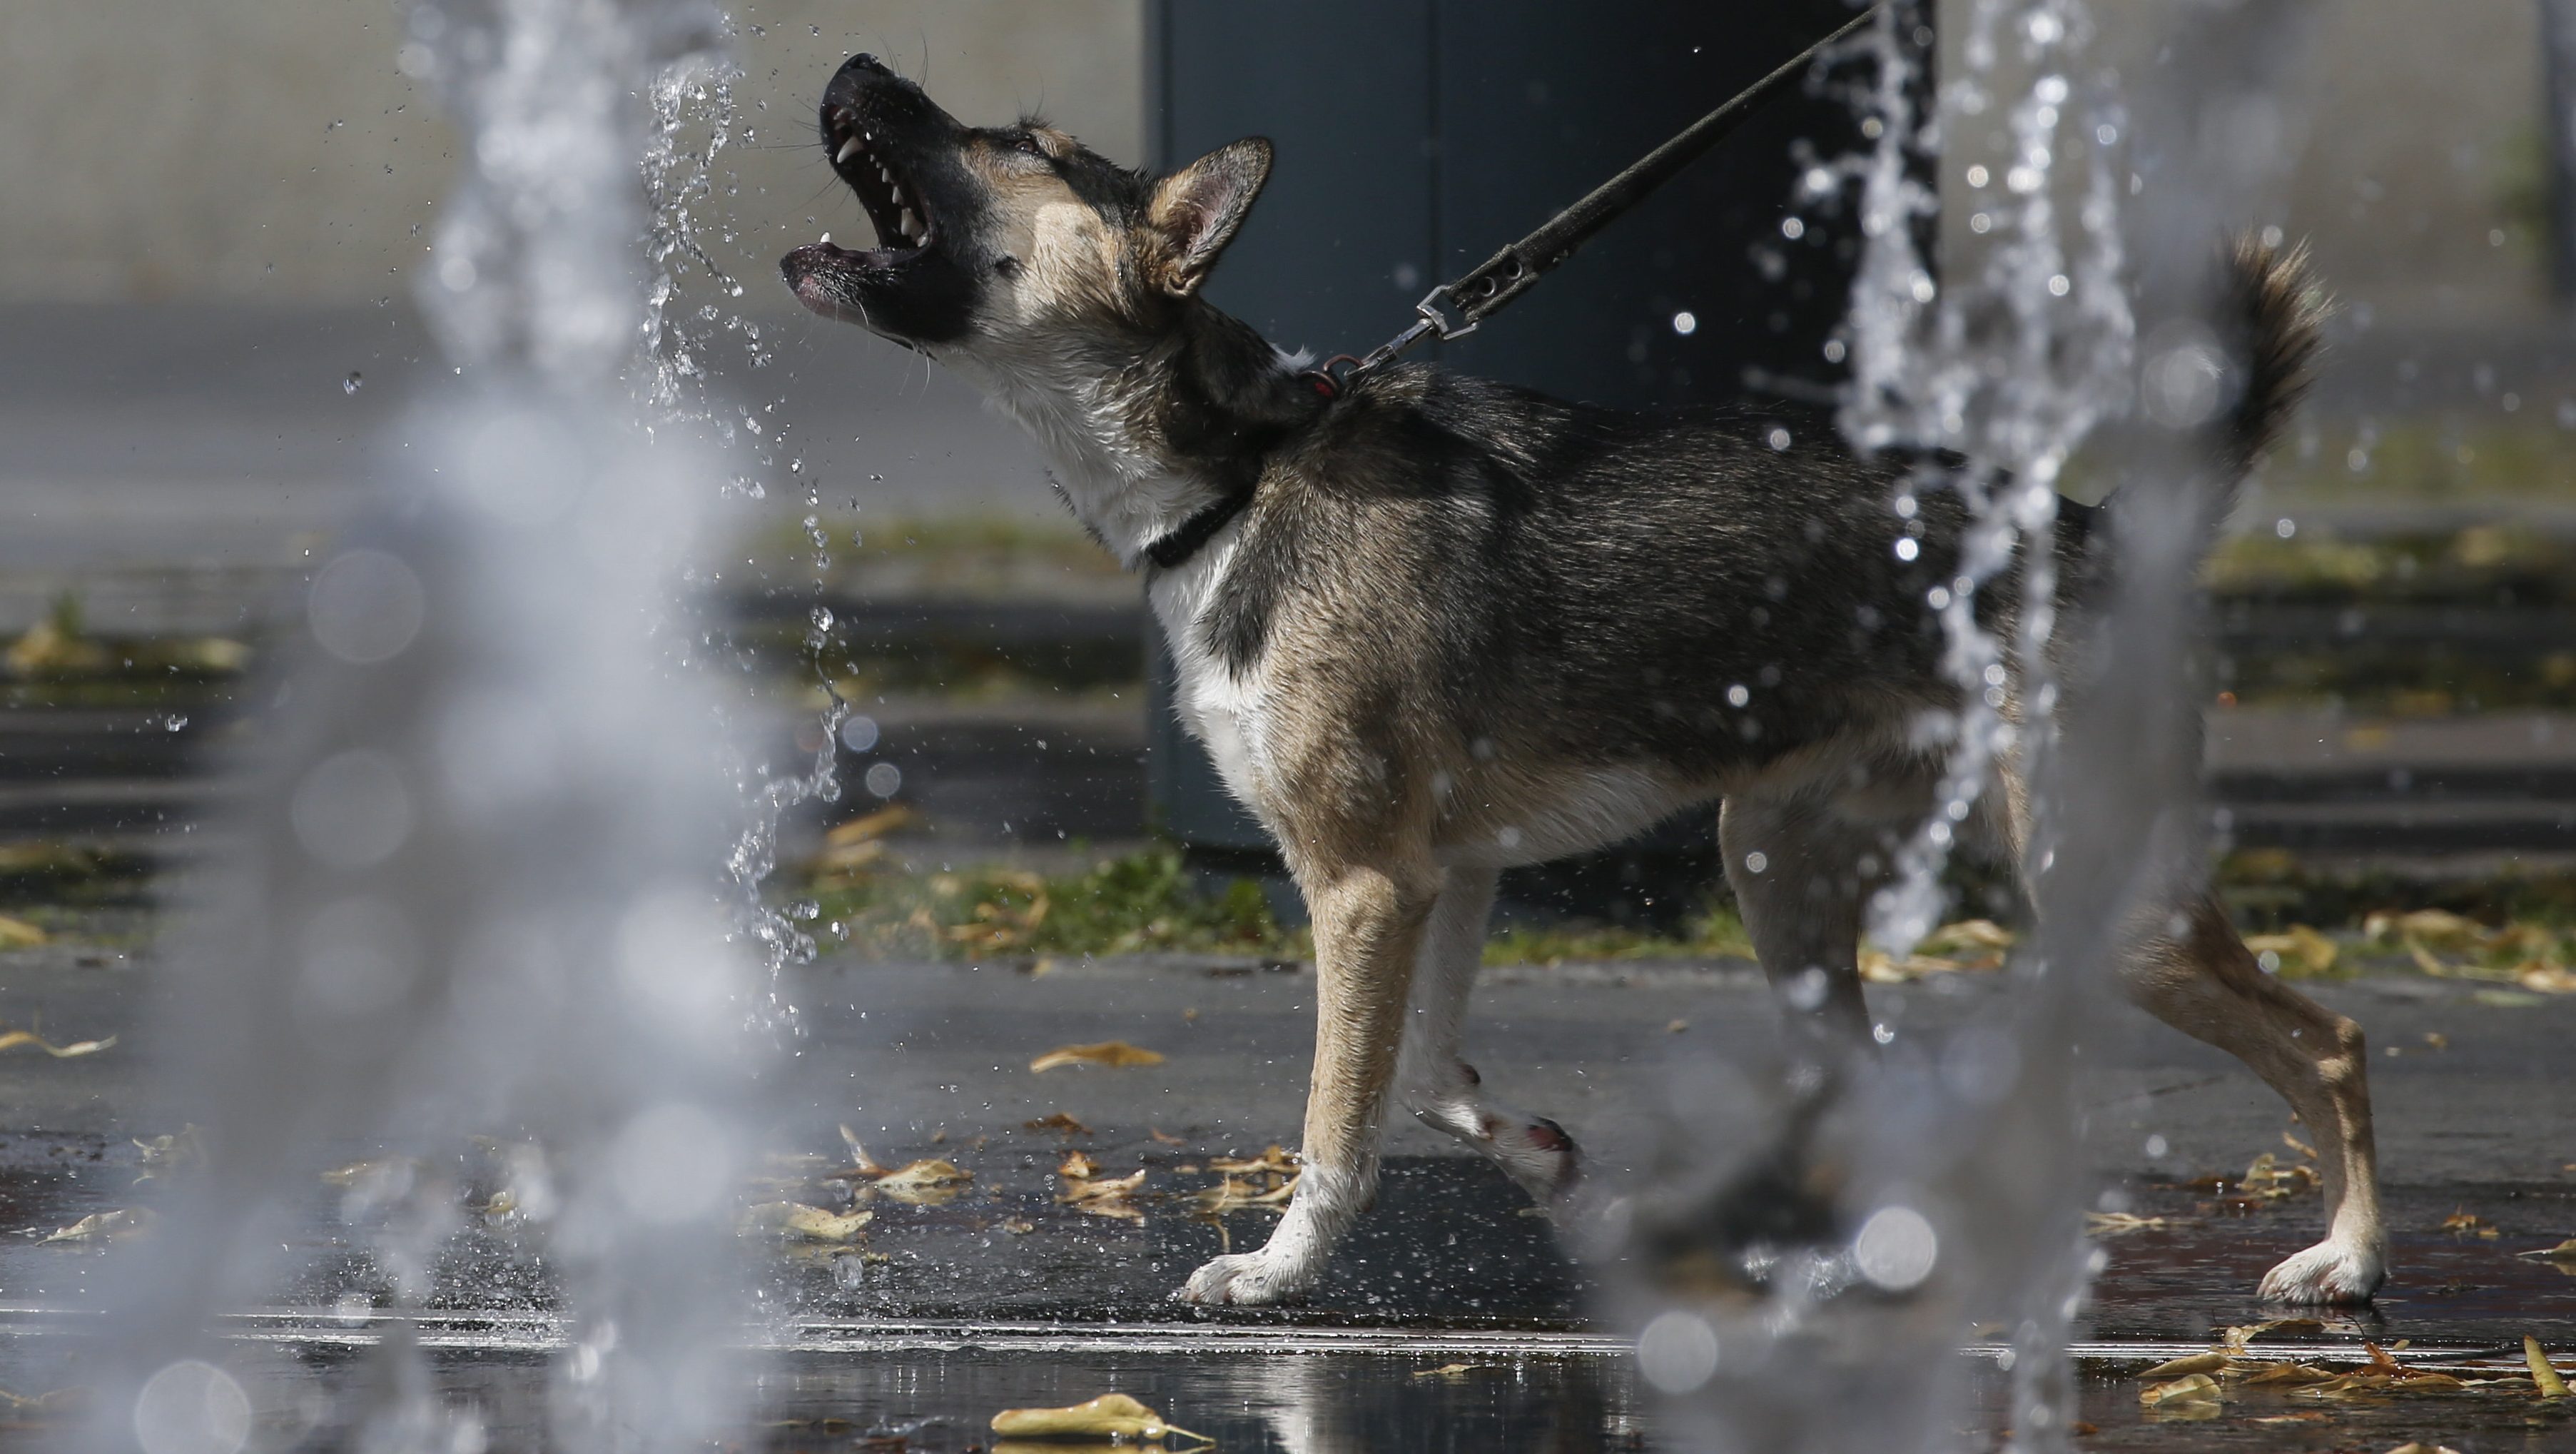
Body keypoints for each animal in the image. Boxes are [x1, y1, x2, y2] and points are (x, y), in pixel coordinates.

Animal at [773, 54, 2380, 1304]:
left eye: (1025, 147)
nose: (853, 63)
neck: (1238, 476)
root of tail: (2102, 531)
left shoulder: (1361, 886)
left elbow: (1337, 1125)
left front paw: (1279, 1273)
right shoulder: (1444, 877)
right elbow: (1425, 1075)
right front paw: (1540, 1155)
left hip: (2100, 897)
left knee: (2332, 1042)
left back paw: (2347, 1259)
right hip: (1773, 864)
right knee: (1866, 1078)